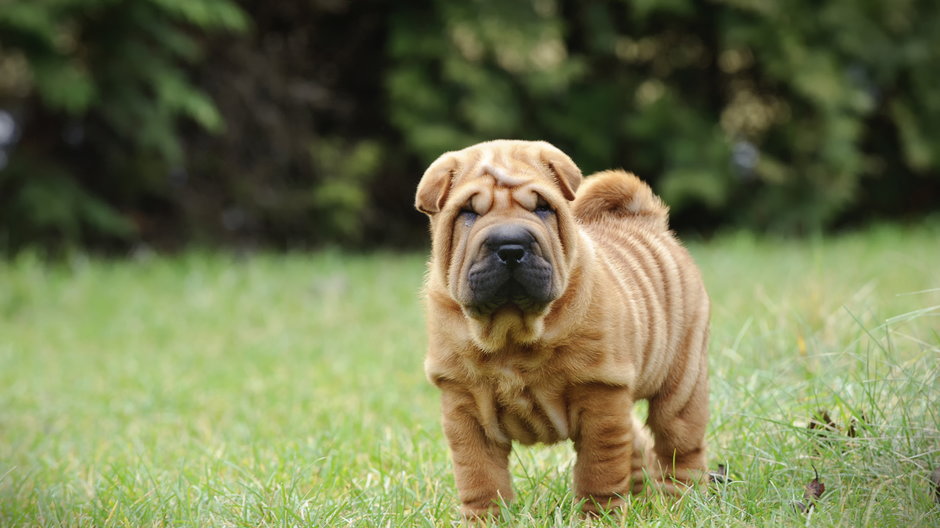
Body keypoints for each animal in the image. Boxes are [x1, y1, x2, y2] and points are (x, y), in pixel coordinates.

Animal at [414, 138, 708, 516]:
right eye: (469, 212)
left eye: (542, 208)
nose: (511, 246)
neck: (511, 332)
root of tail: (647, 221)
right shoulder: (463, 405)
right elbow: (480, 476)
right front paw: (486, 519)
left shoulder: (601, 392)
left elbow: (599, 469)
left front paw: (600, 517)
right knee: (638, 442)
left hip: (682, 379)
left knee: (678, 444)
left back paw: (683, 503)